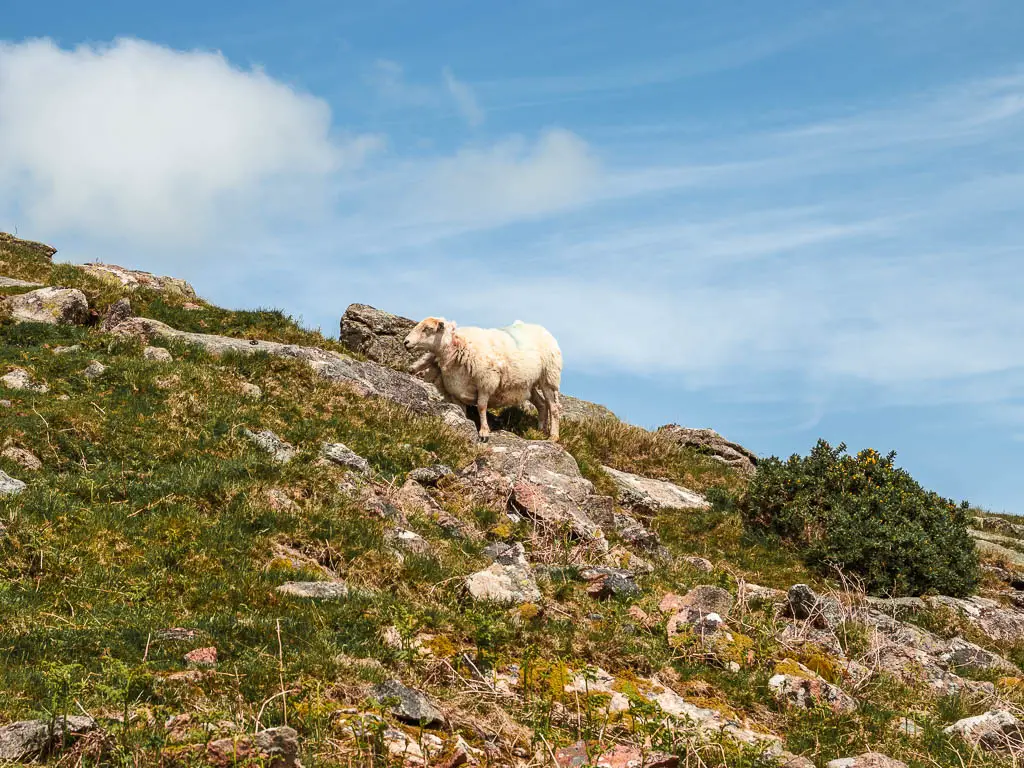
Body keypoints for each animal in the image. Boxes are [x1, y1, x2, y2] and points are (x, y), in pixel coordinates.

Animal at [401, 315, 565, 442]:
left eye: (428, 329)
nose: (406, 342)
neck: (459, 347)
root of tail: (542, 329)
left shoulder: (486, 382)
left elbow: (481, 406)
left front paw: (484, 432)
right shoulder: (455, 392)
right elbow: (461, 411)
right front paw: (465, 424)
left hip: (549, 377)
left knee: (553, 407)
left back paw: (553, 436)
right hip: (528, 383)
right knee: (542, 404)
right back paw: (540, 430)